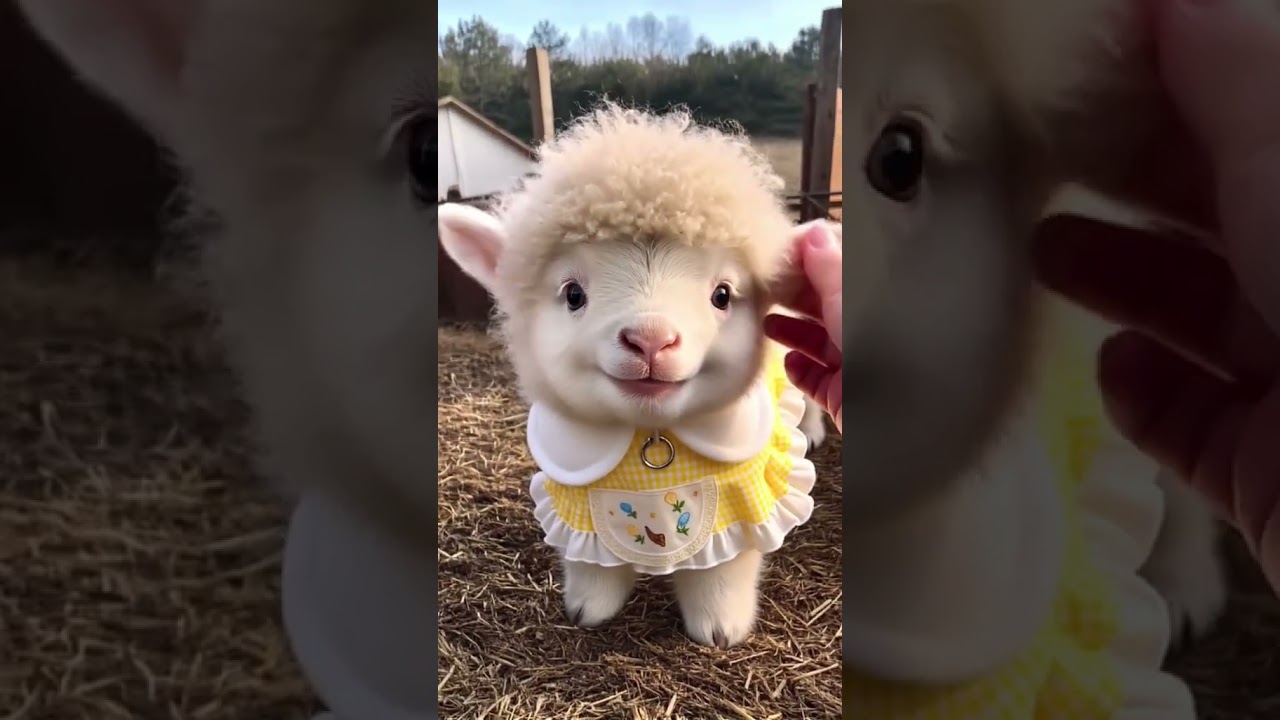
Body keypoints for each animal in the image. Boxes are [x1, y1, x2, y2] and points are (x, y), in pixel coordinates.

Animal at [438, 102, 831, 648]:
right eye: (573, 293)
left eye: (723, 295)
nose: (650, 339)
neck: (650, 437)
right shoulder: (573, 505)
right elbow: (592, 566)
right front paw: (587, 609)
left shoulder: (744, 503)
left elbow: (722, 572)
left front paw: (721, 628)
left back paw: (811, 431)